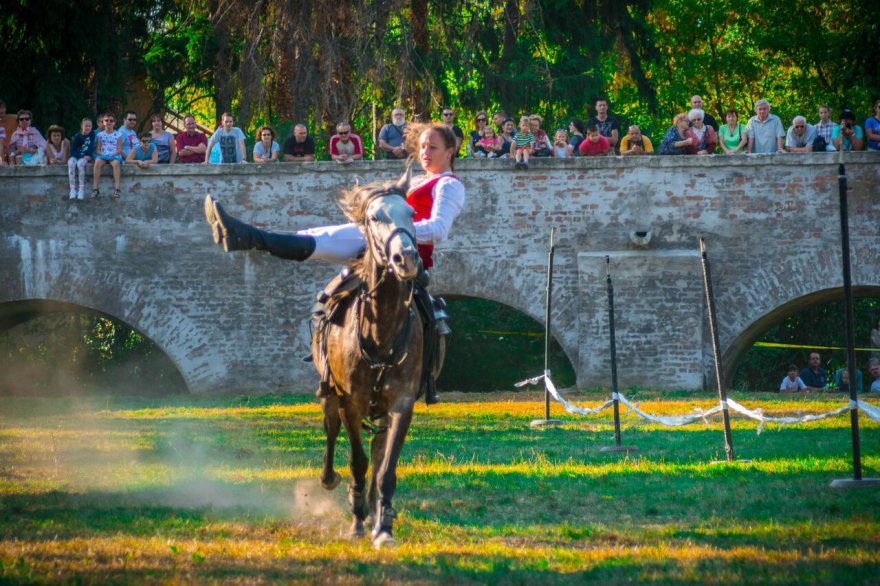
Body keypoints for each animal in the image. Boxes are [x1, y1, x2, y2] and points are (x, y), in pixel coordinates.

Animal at [313, 168, 424, 550]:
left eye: (411, 214)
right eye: (374, 217)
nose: (407, 258)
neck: (382, 330)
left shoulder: (401, 403)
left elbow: (385, 467)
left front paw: (383, 525)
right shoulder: (351, 402)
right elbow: (358, 462)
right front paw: (357, 521)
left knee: (377, 449)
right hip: (330, 395)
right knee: (332, 431)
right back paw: (331, 480)